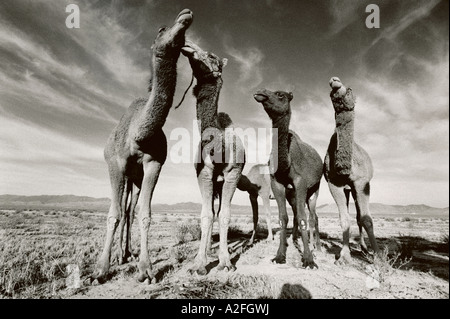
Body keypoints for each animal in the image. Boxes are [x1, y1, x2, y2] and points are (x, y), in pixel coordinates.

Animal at [93, 7, 193, 284]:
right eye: (161, 29)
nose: (185, 14)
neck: (140, 133)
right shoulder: (116, 165)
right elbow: (113, 214)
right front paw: (101, 270)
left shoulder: (153, 164)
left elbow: (144, 213)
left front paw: (146, 270)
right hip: (124, 173)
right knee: (122, 209)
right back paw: (118, 256)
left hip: (135, 178)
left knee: (130, 209)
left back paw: (126, 254)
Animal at [182, 40, 246, 276]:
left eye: (211, 56)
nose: (187, 45)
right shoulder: (204, 173)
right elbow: (205, 216)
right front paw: (199, 264)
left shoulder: (233, 174)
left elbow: (225, 215)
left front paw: (225, 262)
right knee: (209, 211)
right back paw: (207, 249)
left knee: (218, 211)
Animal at [253, 89, 324, 268]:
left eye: (280, 95)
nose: (261, 92)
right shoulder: (276, 183)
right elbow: (283, 218)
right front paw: (279, 255)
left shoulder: (301, 183)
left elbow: (304, 219)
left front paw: (308, 259)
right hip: (292, 195)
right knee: (298, 214)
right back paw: (294, 239)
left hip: (314, 189)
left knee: (313, 216)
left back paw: (318, 248)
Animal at [324, 77, 380, 264]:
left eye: (350, 90)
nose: (335, 81)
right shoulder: (333, 183)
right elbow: (344, 219)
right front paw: (343, 255)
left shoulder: (362, 183)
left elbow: (366, 219)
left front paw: (378, 256)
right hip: (348, 190)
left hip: (358, 188)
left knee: (360, 217)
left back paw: (365, 249)